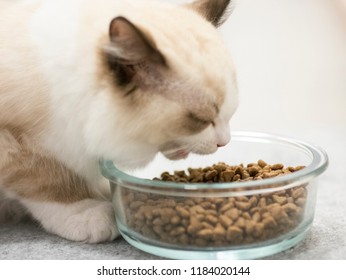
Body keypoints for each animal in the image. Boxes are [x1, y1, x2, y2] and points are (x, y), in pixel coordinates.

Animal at [0, 0, 238, 243]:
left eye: (229, 115)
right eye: (201, 119)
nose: (224, 141)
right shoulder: (15, 142)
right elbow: (47, 180)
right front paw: (88, 211)